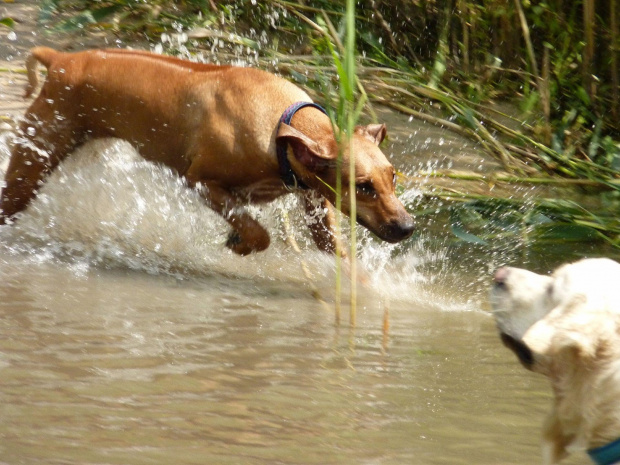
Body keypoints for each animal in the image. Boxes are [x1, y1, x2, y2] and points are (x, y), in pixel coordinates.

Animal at [1, 48, 416, 254]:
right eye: (363, 187)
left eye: (393, 177)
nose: (408, 227)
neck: (281, 125)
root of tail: (61, 59)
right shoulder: (200, 182)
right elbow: (257, 231)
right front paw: (241, 245)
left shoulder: (312, 194)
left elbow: (333, 248)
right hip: (34, 159)